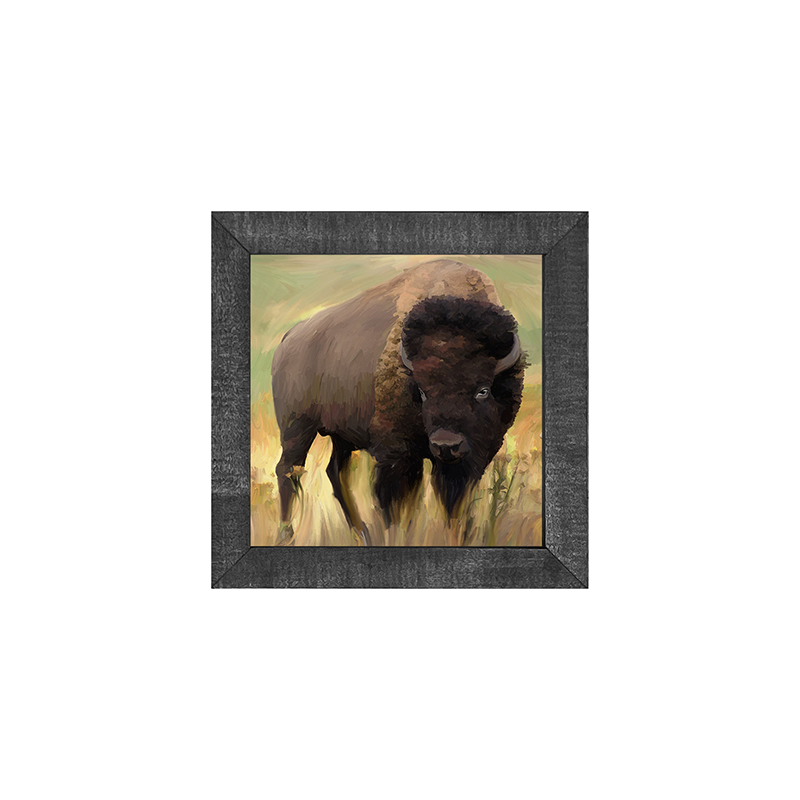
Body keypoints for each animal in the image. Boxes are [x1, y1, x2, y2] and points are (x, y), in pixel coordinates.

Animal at [271, 259, 525, 544]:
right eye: (423, 392)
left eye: (482, 390)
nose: (446, 445)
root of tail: (289, 338)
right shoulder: (397, 456)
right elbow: (395, 506)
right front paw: (397, 535)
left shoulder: (466, 462)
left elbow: (453, 507)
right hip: (296, 428)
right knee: (288, 471)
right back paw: (286, 535)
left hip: (341, 436)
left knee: (335, 472)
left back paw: (361, 532)